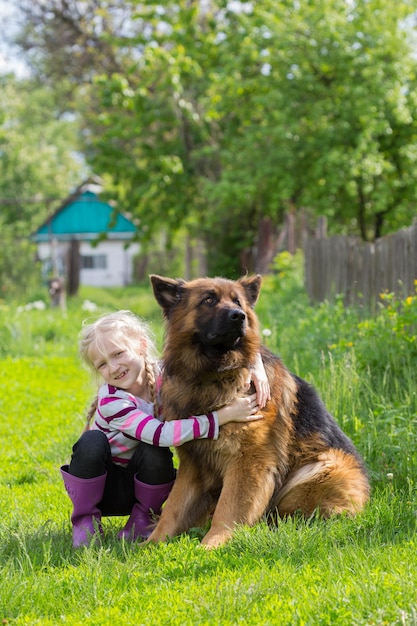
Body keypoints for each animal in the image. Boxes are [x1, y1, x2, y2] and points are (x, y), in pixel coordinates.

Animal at [146, 272, 368, 544]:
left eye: (237, 302)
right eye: (208, 300)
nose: (238, 316)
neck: (211, 376)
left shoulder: (249, 461)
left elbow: (229, 508)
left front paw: (213, 543)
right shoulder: (193, 464)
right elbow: (174, 508)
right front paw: (150, 544)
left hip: (321, 467)